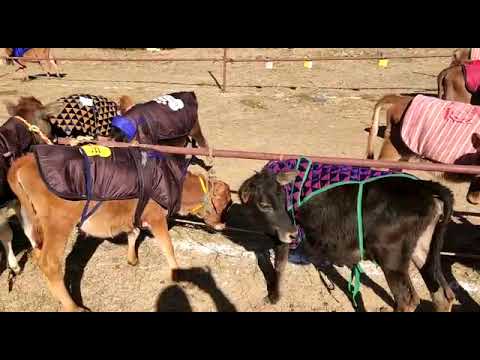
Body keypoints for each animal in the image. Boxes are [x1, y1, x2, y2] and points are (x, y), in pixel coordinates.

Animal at [6, 156, 232, 310]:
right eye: (225, 203)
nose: (223, 226)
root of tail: (25, 160)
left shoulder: (135, 215)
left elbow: (134, 233)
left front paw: (132, 259)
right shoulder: (156, 217)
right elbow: (168, 246)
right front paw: (177, 273)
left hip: (37, 227)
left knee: (37, 254)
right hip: (58, 225)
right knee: (49, 263)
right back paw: (73, 306)